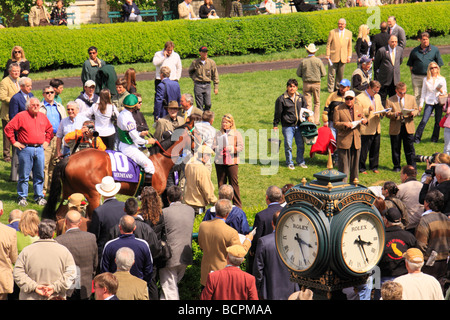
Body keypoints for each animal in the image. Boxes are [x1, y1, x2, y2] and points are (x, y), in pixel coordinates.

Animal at [42, 123, 197, 222]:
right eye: (195, 135)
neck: (159, 160)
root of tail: (70, 158)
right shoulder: (155, 194)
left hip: (69, 193)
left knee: (59, 216)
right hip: (93, 195)